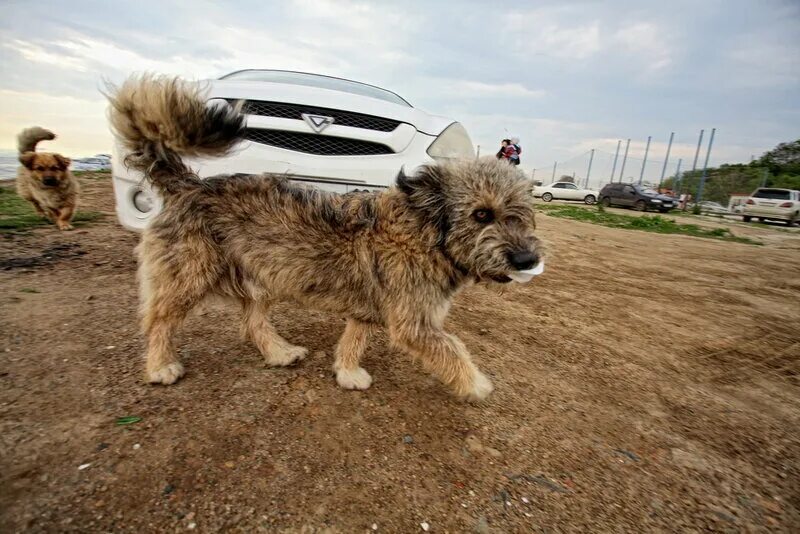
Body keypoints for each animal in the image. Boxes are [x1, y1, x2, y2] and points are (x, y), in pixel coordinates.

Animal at [106, 74, 544, 402]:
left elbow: (354, 338)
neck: (426, 231)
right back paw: (160, 365)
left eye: (520, 214)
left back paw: (280, 352)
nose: (527, 261)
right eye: (481, 214)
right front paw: (475, 383)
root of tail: (188, 185)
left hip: (259, 275)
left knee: (252, 323)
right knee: (159, 320)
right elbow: (450, 348)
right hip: (189, 275)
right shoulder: (413, 322)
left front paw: (347, 372)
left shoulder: (369, 307)